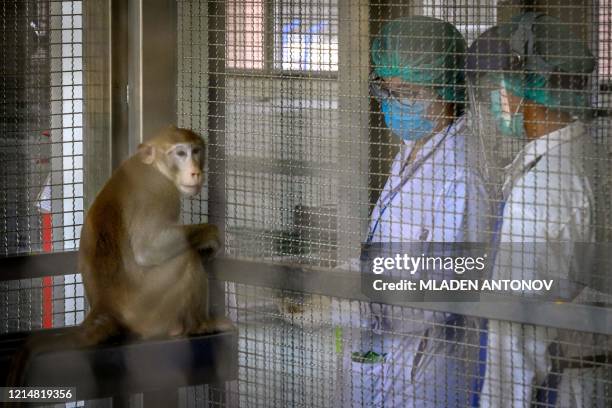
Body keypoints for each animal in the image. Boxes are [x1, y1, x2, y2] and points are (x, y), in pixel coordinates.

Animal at [4, 126, 233, 394]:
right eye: (180, 153)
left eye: (196, 151)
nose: (195, 171)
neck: (154, 166)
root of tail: (105, 307)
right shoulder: (160, 190)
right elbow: (148, 247)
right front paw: (210, 235)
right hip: (147, 309)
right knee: (186, 259)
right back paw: (199, 325)